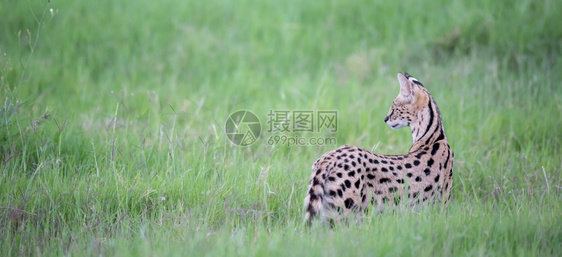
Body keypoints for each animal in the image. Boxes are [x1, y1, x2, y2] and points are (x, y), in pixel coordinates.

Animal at [304, 72, 452, 224]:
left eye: (394, 108)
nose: (385, 119)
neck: (435, 135)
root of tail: (328, 157)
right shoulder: (441, 206)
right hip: (345, 211)